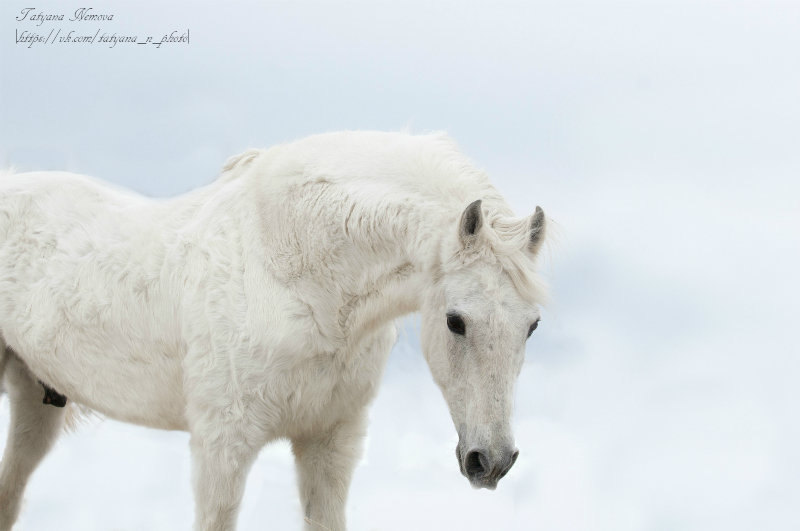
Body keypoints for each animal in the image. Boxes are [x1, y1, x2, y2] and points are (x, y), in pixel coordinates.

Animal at [0, 131, 548, 528]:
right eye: (456, 321)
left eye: (532, 326)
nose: (491, 461)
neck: (291, 274)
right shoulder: (221, 448)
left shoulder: (330, 445)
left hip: (36, 404)